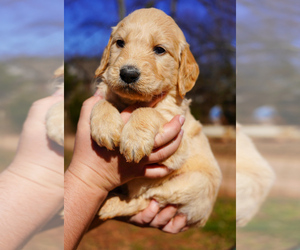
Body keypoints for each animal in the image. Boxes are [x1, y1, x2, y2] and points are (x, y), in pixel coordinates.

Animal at [90, 8, 221, 227]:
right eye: (120, 43)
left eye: (159, 50)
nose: (128, 74)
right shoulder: (106, 94)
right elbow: (101, 103)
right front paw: (105, 127)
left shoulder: (179, 142)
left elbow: (148, 111)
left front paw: (134, 140)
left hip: (192, 185)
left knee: (145, 200)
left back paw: (109, 204)